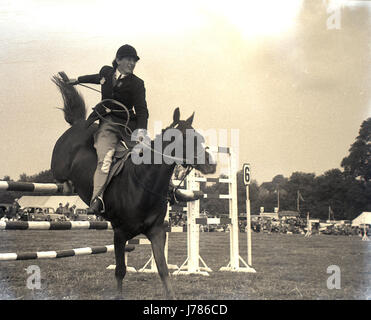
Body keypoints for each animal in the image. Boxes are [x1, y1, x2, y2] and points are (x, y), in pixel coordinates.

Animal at [50, 72, 218, 298]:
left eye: (198, 136)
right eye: (180, 137)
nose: (210, 164)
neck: (142, 184)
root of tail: (77, 124)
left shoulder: (157, 232)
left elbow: (163, 270)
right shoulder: (120, 233)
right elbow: (120, 270)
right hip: (58, 169)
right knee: (58, 177)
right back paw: (66, 185)